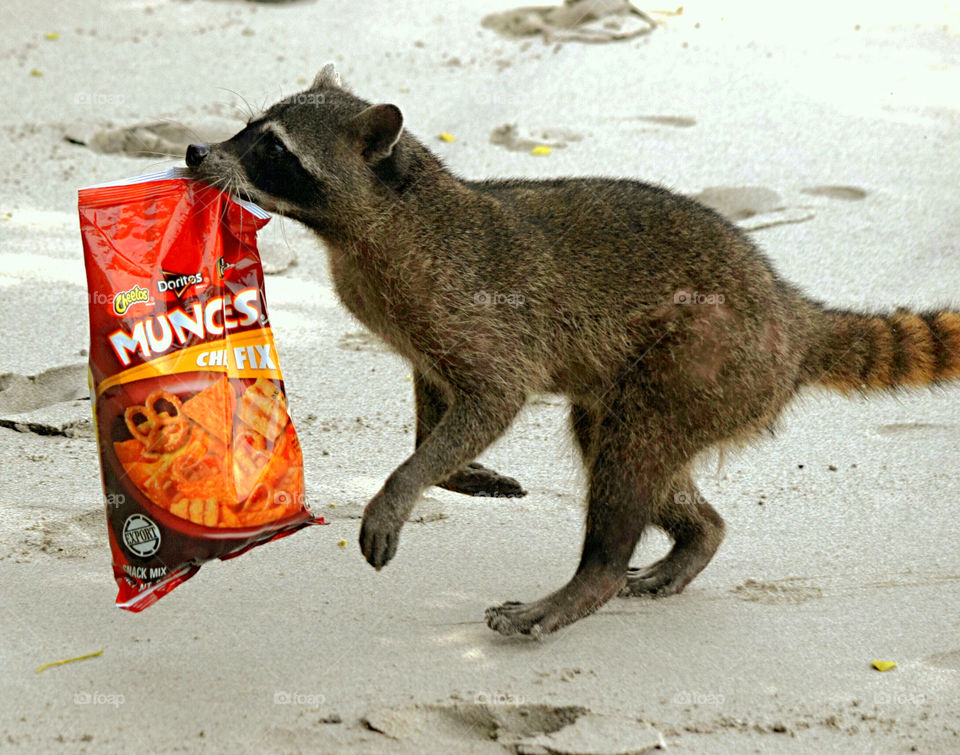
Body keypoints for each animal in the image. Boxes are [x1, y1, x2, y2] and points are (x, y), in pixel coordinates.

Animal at [187, 64, 960, 637]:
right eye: (249, 126)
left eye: (273, 148)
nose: (196, 153)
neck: (366, 224)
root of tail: (791, 313)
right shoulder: (415, 329)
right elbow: (435, 395)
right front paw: (445, 465)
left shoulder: (474, 311)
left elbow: (494, 396)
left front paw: (403, 485)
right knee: (625, 448)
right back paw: (696, 535)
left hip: (709, 359)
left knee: (631, 450)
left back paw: (592, 577)